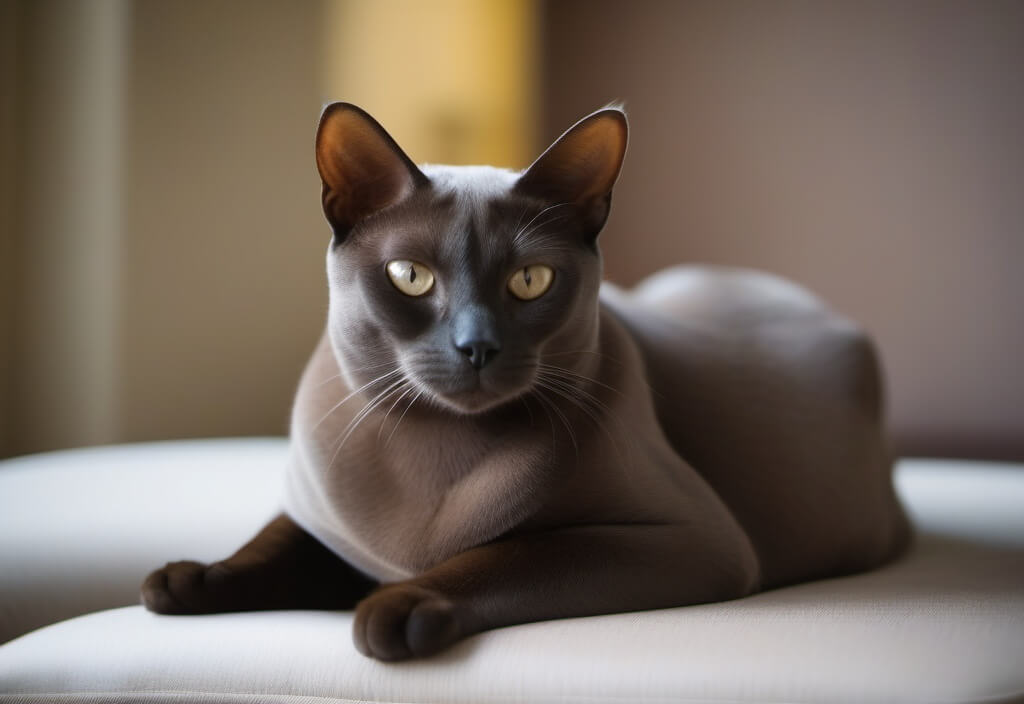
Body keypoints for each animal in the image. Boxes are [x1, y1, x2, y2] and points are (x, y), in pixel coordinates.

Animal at [140, 103, 909, 658]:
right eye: (410, 276)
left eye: (530, 280)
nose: (476, 346)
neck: (435, 449)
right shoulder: (318, 513)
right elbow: (277, 538)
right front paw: (190, 578)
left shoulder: (690, 538)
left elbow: (504, 556)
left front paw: (398, 606)